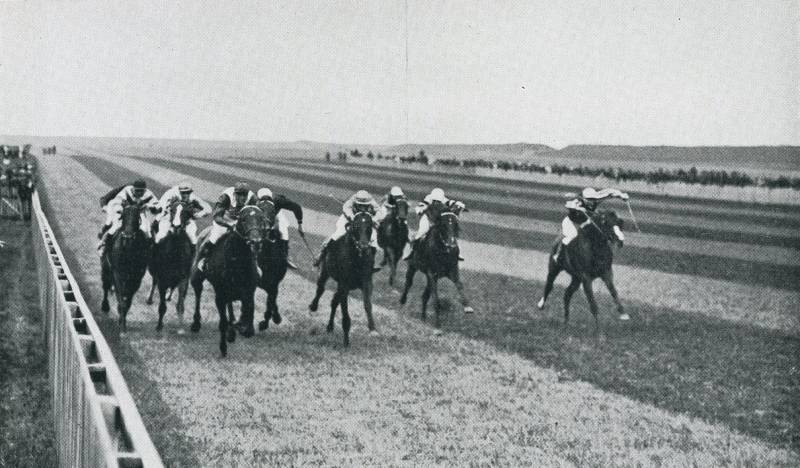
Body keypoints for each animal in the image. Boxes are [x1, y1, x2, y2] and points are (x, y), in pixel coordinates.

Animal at [148, 201, 195, 332]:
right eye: (172, 210)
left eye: (186, 212)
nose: (176, 226)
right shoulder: (162, 280)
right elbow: (162, 306)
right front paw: (159, 326)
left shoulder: (184, 279)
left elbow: (180, 306)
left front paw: (181, 327)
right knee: (154, 282)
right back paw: (150, 298)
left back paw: (169, 296)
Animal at [191, 207, 268, 356]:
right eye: (243, 219)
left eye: (261, 219)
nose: (255, 241)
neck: (237, 262)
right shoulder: (220, 295)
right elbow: (222, 322)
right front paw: (224, 346)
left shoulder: (248, 292)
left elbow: (248, 319)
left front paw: (241, 327)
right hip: (197, 276)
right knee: (198, 292)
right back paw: (196, 323)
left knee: (230, 306)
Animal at [310, 210, 378, 346]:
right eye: (356, 226)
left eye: (369, 227)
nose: (364, 247)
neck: (357, 258)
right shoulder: (344, 284)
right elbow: (345, 312)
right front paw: (346, 341)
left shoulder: (366, 281)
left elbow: (367, 304)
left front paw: (372, 328)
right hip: (325, 271)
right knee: (320, 288)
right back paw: (313, 306)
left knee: (334, 301)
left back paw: (330, 327)